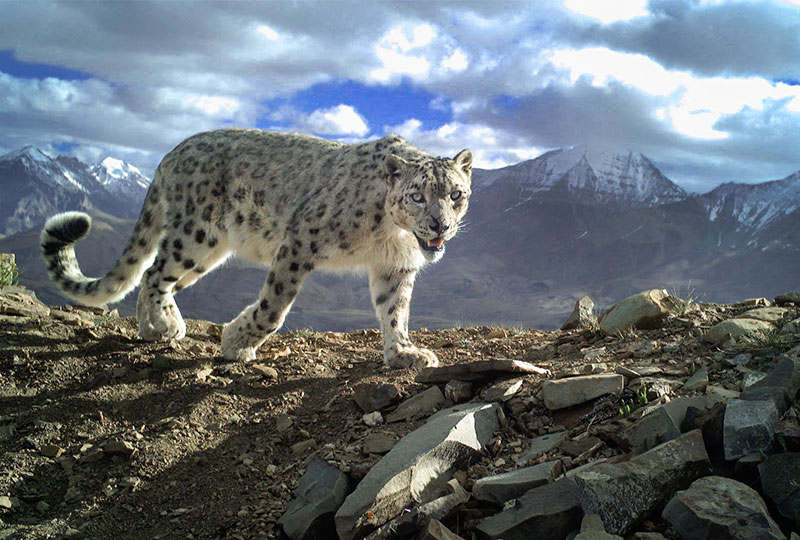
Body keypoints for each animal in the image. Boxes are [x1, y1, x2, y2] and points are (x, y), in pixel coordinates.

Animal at [41, 128, 472, 369]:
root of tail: (170, 154)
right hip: (196, 234)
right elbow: (274, 307)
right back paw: (167, 324)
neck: (391, 236)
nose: (440, 225)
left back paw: (151, 329)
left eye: (456, 194)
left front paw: (404, 353)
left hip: (207, 252)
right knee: (155, 272)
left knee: (150, 272)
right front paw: (236, 342)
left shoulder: (394, 267)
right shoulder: (301, 239)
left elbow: (395, 310)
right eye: (417, 195)